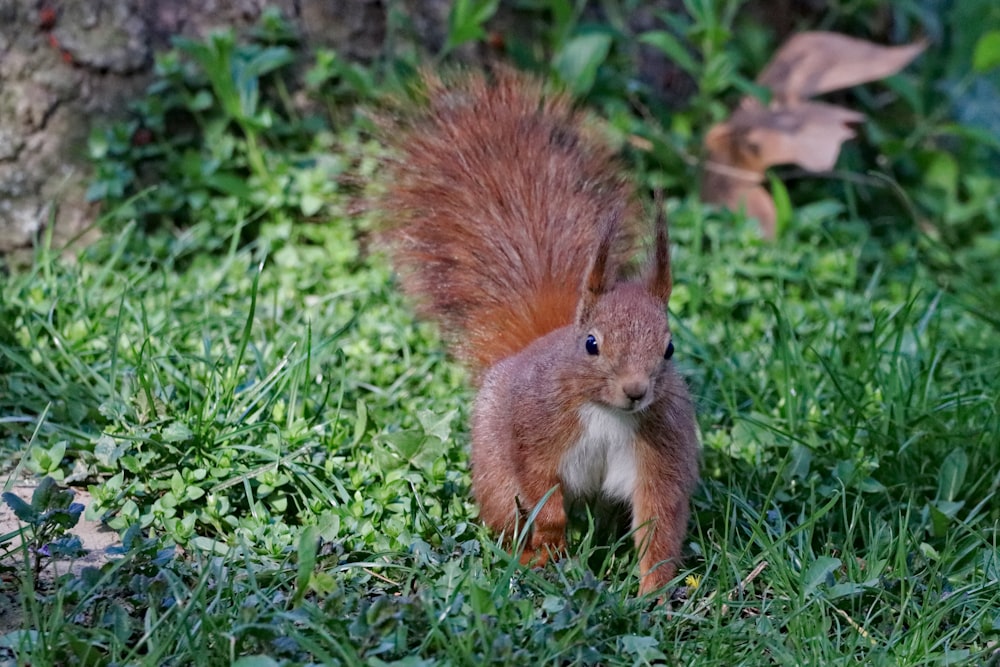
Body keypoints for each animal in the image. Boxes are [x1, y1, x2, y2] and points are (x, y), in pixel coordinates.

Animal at [378, 69, 700, 600]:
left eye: (669, 348)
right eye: (591, 344)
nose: (636, 391)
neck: (606, 413)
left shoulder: (661, 450)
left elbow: (659, 519)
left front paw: (655, 590)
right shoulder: (534, 430)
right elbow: (539, 488)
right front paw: (551, 545)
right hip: (492, 468)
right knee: (507, 514)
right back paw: (531, 559)